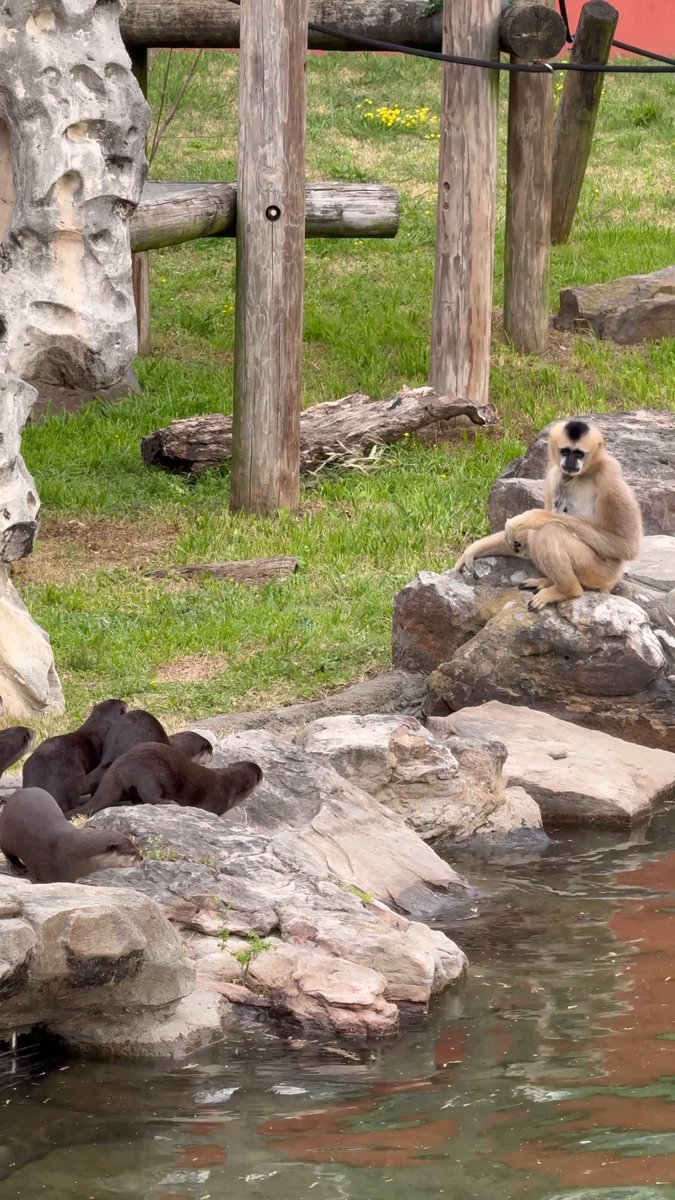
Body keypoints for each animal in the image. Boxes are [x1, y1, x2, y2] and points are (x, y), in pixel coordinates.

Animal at [0, 788, 140, 883]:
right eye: (132, 852)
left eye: (136, 848)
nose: (142, 858)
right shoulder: (45, 869)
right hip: (6, 835)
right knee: (7, 852)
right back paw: (16, 867)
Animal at [76, 743, 263, 817]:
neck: (232, 785)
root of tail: (121, 765)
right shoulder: (217, 801)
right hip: (149, 774)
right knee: (150, 795)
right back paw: (170, 802)